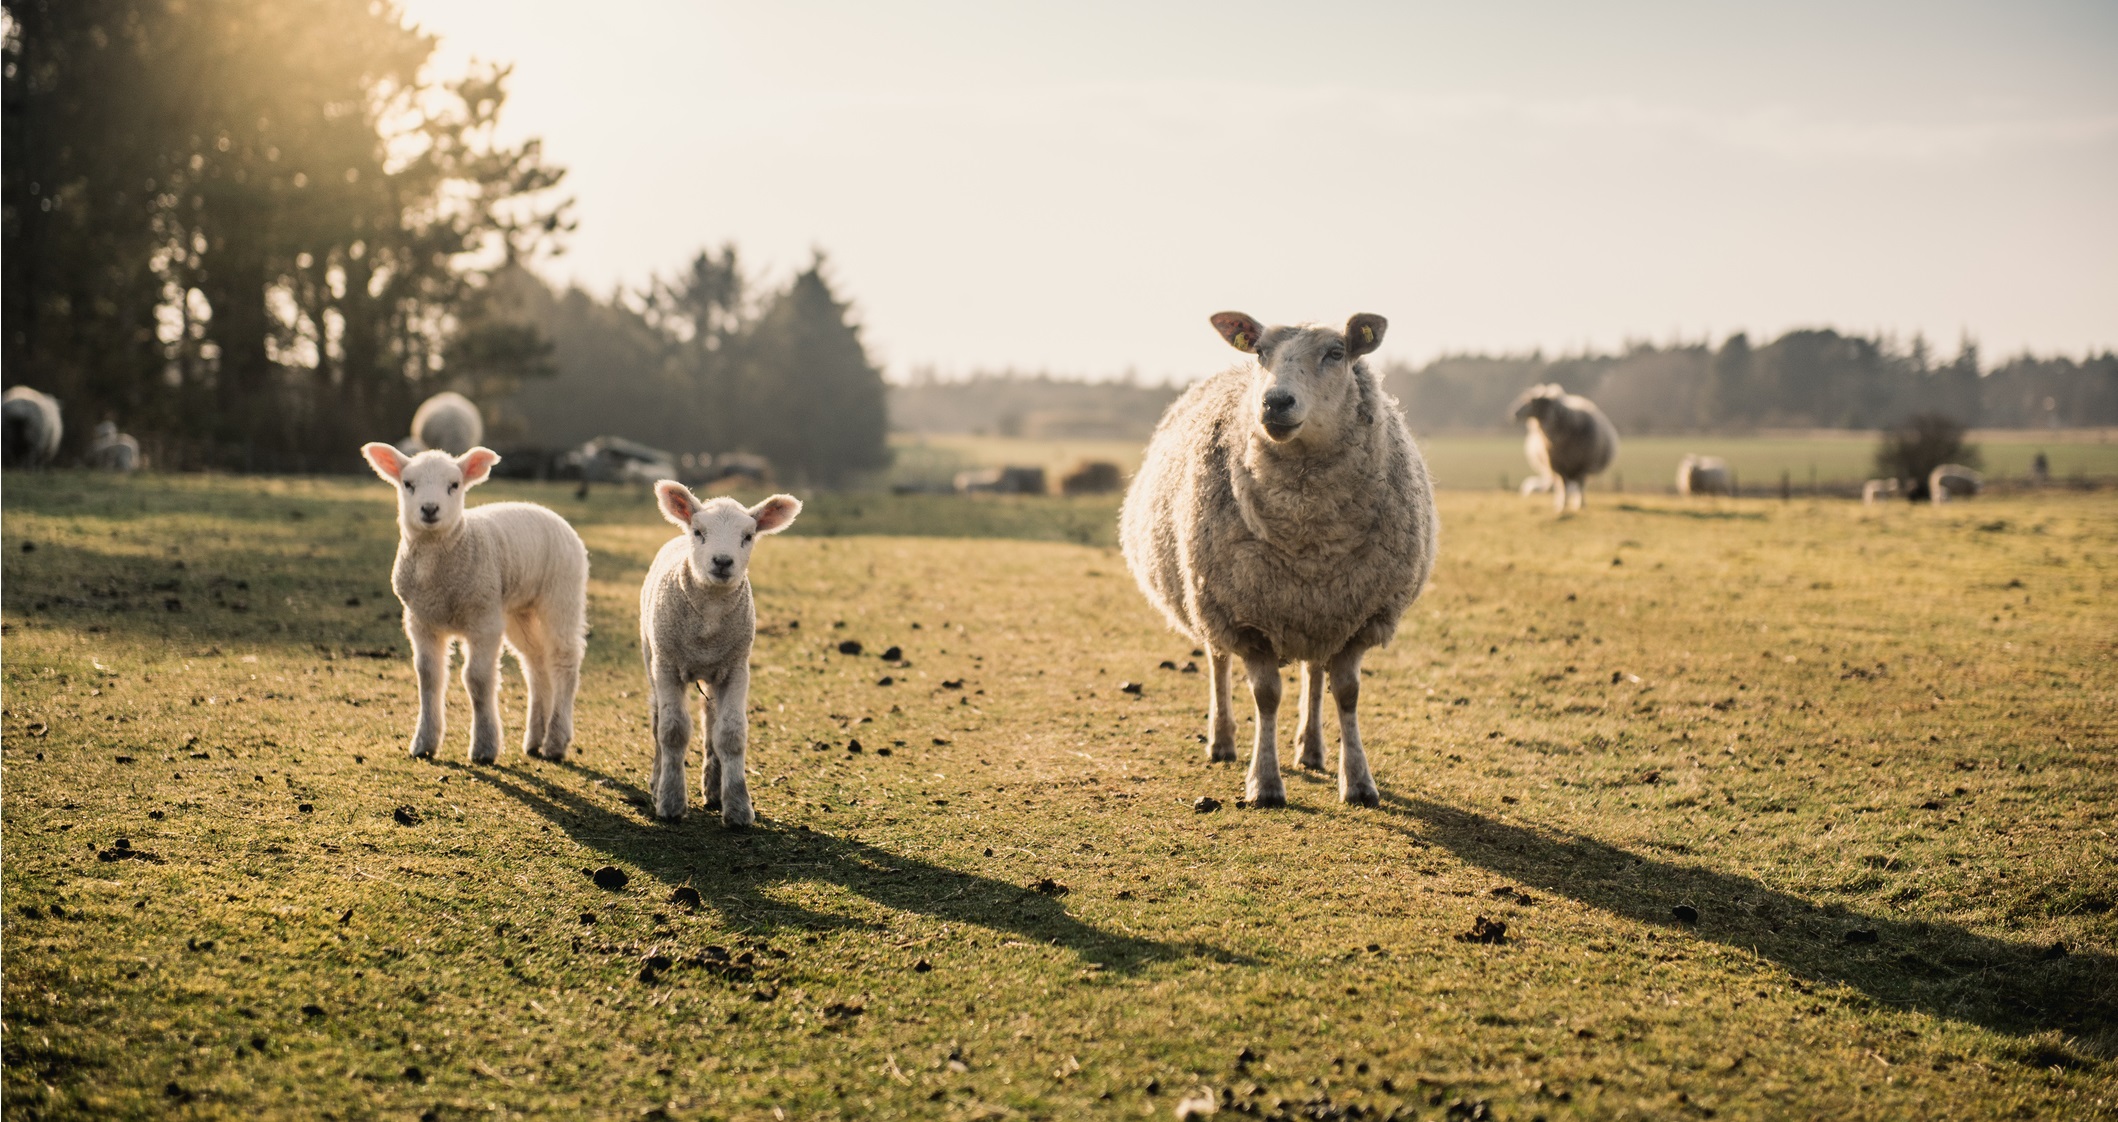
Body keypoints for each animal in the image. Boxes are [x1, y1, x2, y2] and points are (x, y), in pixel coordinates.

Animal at [360, 443, 589, 764]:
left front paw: (484, 747)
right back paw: (535, 739)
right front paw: (424, 743)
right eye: (408, 484)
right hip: (518, 611)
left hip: (562, 594)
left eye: (454, 485)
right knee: (536, 662)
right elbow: (428, 676)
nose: (429, 509)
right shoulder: (421, 621)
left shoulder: (483, 619)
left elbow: (477, 679)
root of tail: (548, 511)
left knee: (564, 659)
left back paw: (555, 741)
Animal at [639, 481, 801, 825]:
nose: (723, 561)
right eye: (699, 531)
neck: (708, 628)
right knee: (658, 718)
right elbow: (672, 731)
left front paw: (738, 807)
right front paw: (671, 802)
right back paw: (657, 782)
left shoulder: (736, 669)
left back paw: (713, 789)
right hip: (651, 657)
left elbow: (730, 734)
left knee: (709, 720)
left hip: (713, 673)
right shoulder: (667, 665)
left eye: (749, 535)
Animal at [1120, 311, 1437, 808]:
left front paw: (1358, 781)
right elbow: (1266, 696)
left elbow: (1347, 693)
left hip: (1317, 610)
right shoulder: (1246, 618)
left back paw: (1311, 749)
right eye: (1259, 352)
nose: (1275, 402)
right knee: (1218, 661)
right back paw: (1223, 741)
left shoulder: (1359, 617)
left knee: (1314, 670)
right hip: (1210, 599)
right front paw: (1264, 783)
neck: (1308, 535)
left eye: (1336, 352)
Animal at [1510, 383, 1617, 512]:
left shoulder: (1582, 466)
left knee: (1576, 485)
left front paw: (1579, 504)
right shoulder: (1558, 466)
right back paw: (1560, 502)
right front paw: (1562, 505)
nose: (1514, 413)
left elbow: (1580, 485)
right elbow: (1563, 485)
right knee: (1560, 485)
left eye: (1530, 401)